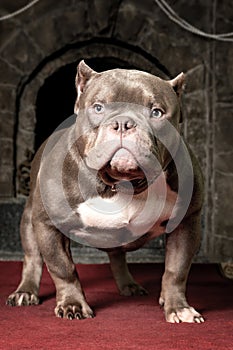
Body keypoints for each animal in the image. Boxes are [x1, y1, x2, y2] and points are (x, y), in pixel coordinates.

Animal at [6, 60, 204, 322]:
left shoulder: (186, 222)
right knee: (32, 258)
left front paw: (178, 307)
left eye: (156, 112)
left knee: (117, 256)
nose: (123, 123)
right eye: (98, 107)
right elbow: (62, 268)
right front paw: (73, 304)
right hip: (29, 220)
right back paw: (25, 291)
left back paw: (128, 285)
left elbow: (176, 269)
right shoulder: (48, 225)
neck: (122, 183)